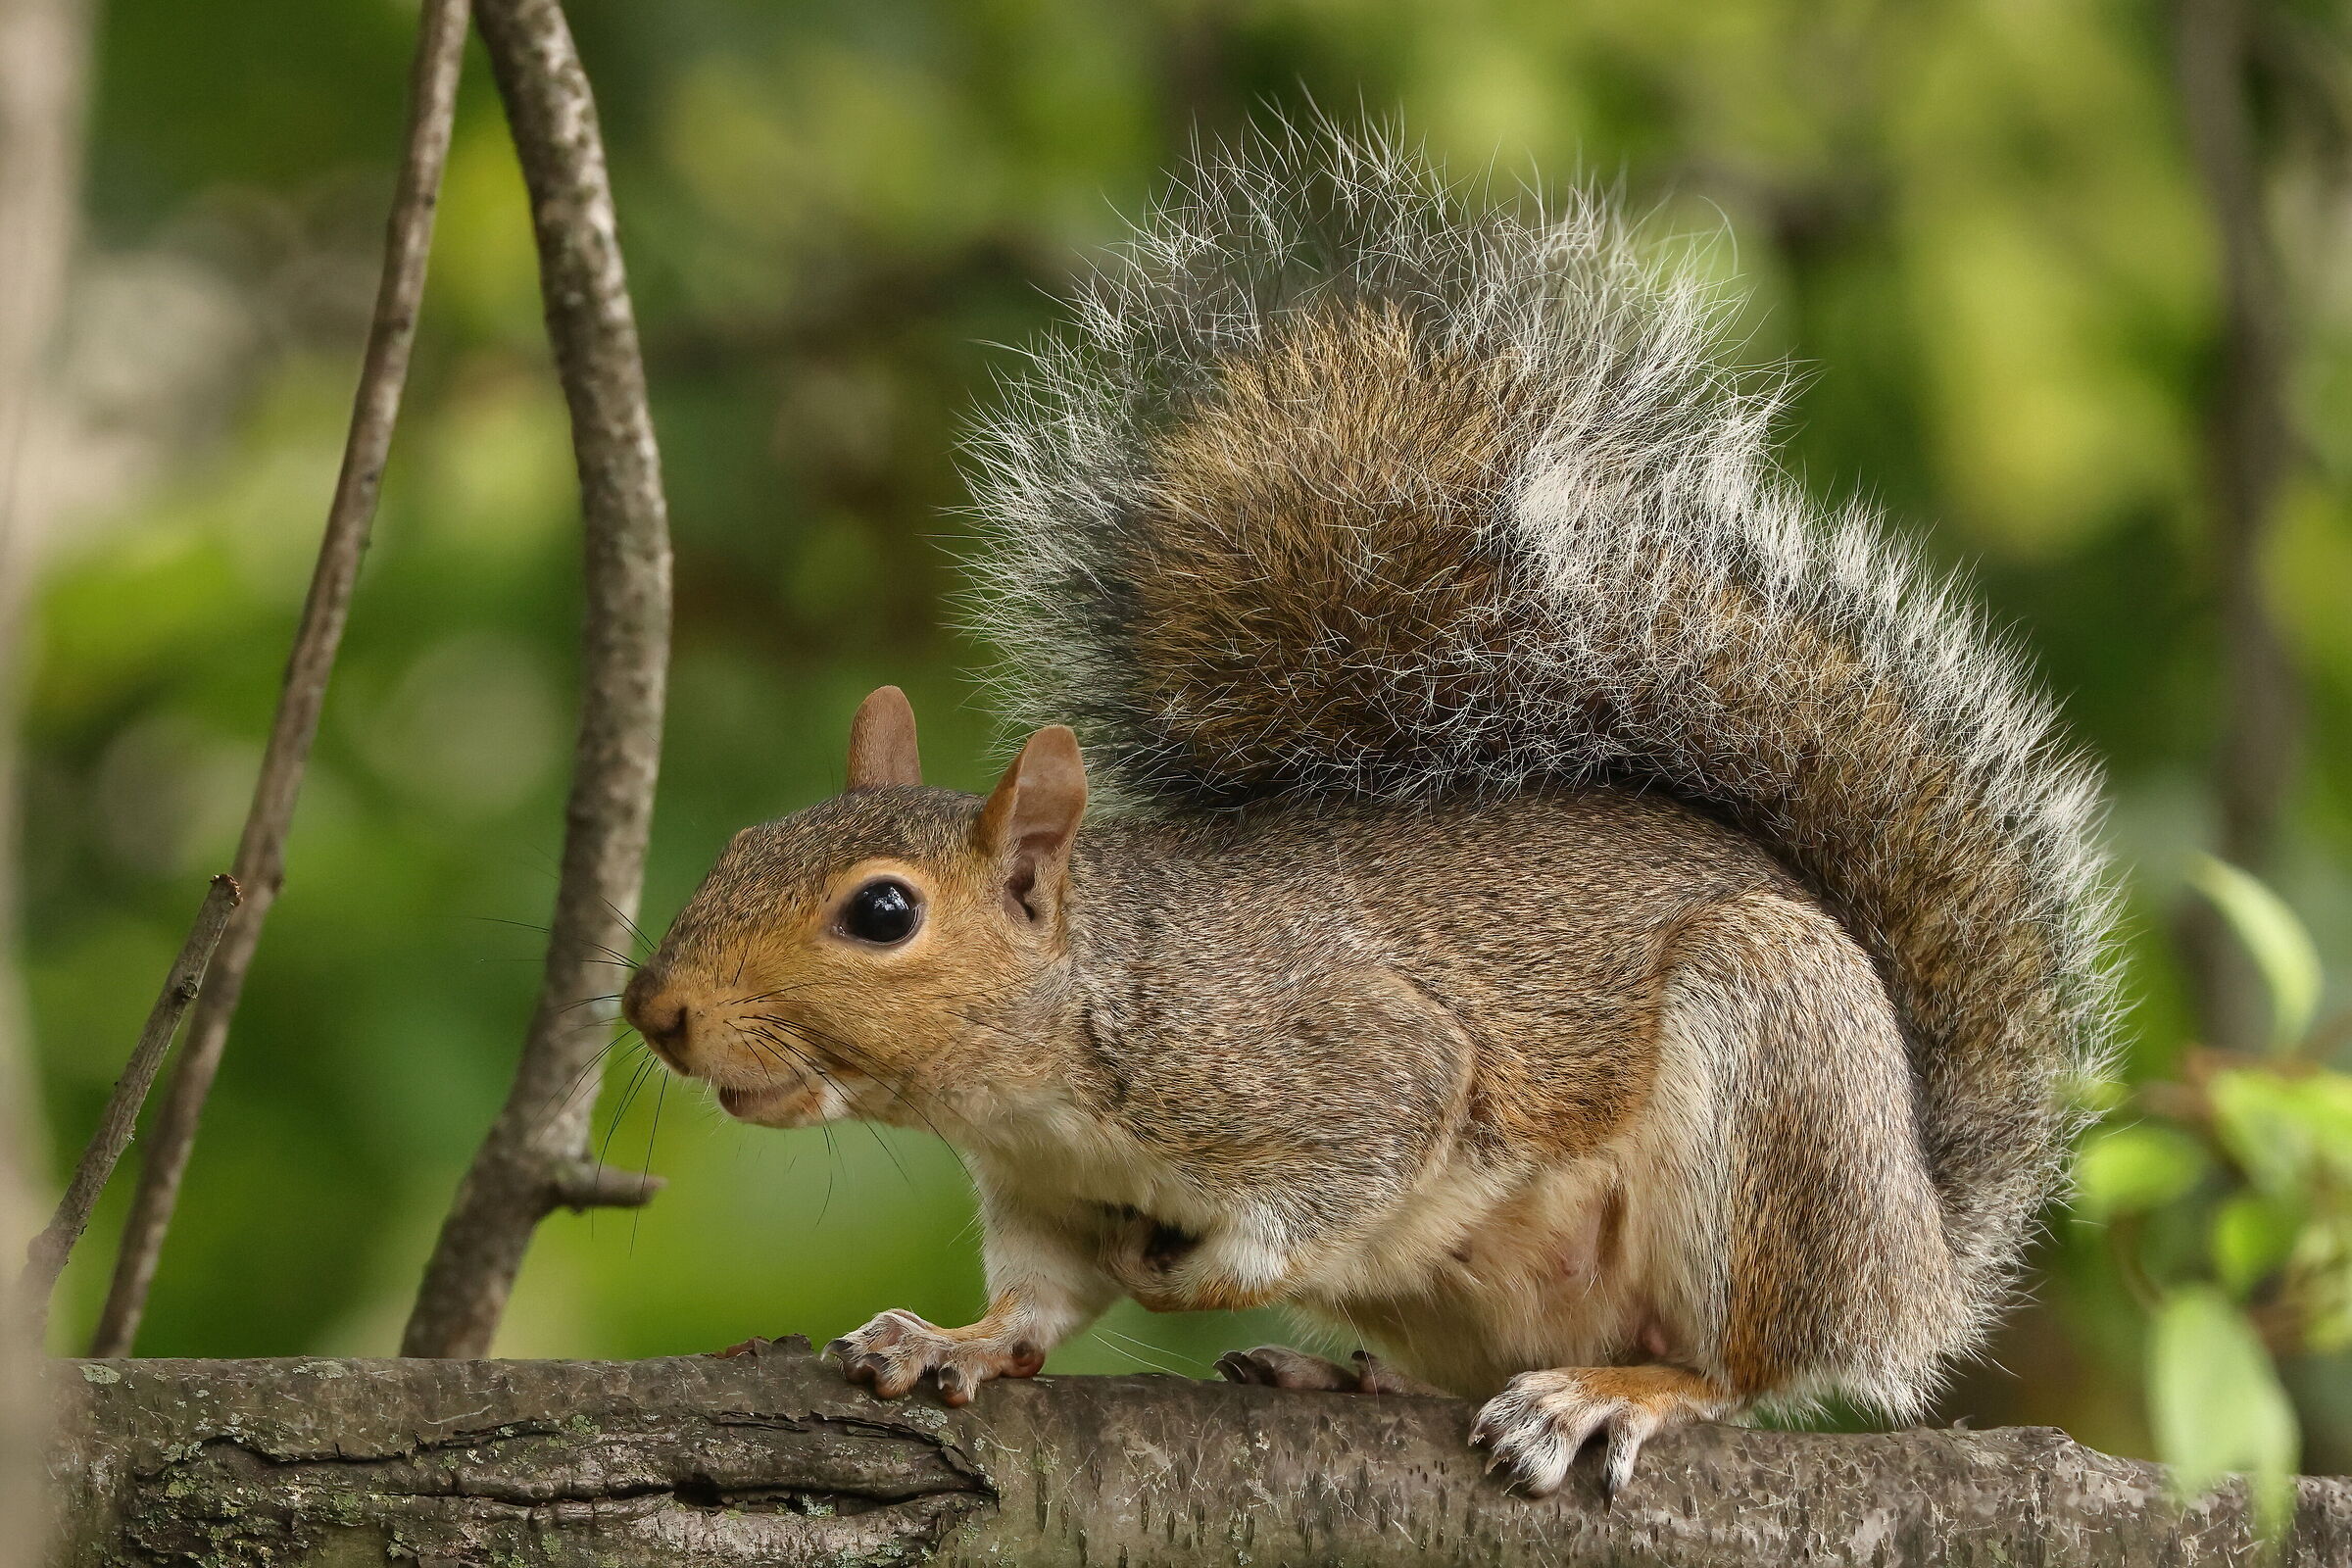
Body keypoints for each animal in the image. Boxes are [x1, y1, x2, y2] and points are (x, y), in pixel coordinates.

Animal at [621, 133, 2116, 1497]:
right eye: (743, 847)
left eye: (881, 912)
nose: (657, 1010)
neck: (1058, 1052)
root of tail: (1917, 1262)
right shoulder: (1041, 1194)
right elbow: (1038, 1303)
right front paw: (955, 1341)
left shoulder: (1335, 1060)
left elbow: (1346, 1165)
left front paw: (1202, 1273)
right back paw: (1347, 1376)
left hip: (1778, 1074)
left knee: (1742, 1367)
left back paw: (1612, 1392)